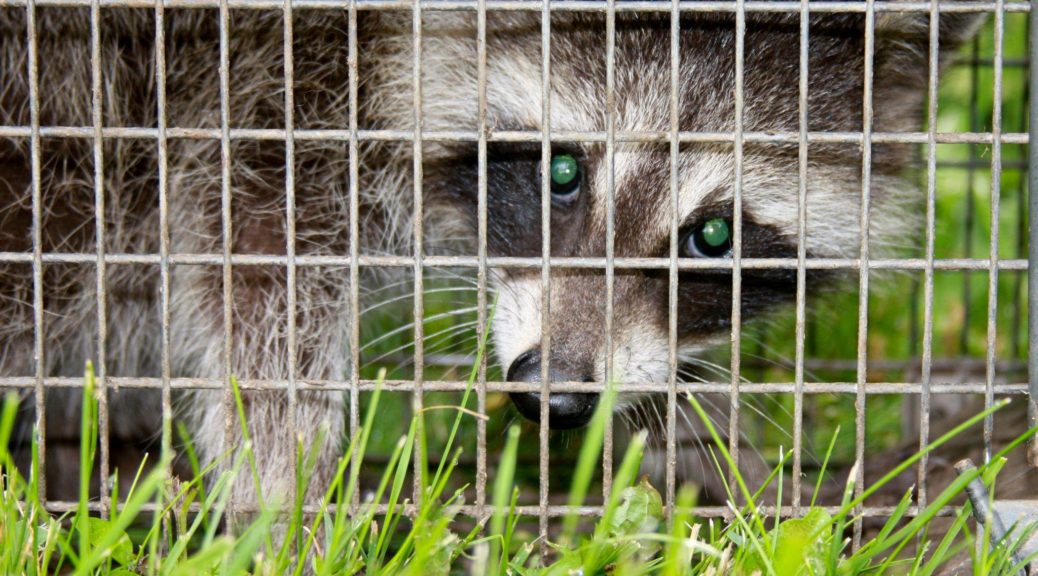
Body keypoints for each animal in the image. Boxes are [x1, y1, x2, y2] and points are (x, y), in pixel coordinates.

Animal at [0, 4, 984, 512]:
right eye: (561, 170)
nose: (555, 394)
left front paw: (711, 454)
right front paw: (282, 505)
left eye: (714, 237)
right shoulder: (268, 85)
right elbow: (260, 285)